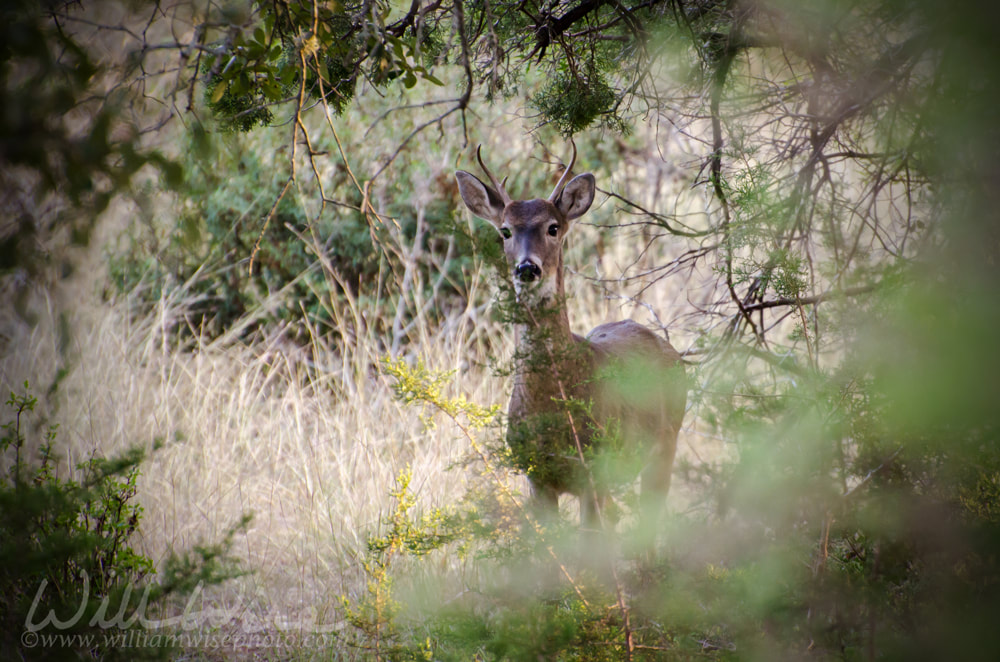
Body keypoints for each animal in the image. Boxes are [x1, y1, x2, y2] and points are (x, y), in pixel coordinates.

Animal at [456, 143, 684, 532]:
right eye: (505, 231)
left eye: (553, 227)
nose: (527, 267)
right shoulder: (536, 476)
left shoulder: (595, 469)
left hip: (665, 446)